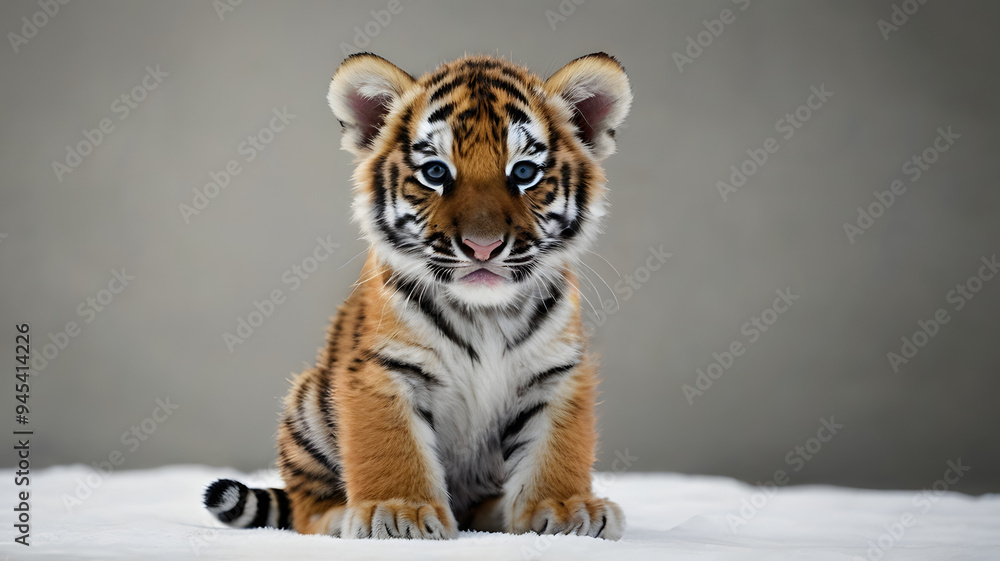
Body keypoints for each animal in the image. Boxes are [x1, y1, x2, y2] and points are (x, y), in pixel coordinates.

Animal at [204, 52, 632, 540]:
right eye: (435, 173)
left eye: (523, 173)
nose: (482, 246)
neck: (485, 314)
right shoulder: (384, 370)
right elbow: (392, 448)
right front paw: (398, 513)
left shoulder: (556, 373)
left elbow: (557, 448)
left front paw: (565, 508)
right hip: (308, 400)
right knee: (303, 508)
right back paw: (338, 516)